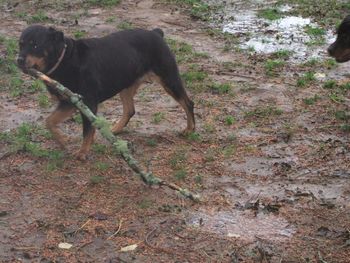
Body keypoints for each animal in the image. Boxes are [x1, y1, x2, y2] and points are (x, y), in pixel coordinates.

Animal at [17, 25, 196, 160]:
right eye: (20, 44)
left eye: (35, 45)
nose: (19, 60)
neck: (64, 59)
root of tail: (156, 32)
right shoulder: (68, 102)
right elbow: (50, 121)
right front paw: (62, 140)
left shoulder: (87, 102)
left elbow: (86, 131)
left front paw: (82, 153)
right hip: (126, 84)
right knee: (130, 110)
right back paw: (114, 130)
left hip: (168, 79)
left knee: (188, 103)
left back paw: (190, 129)